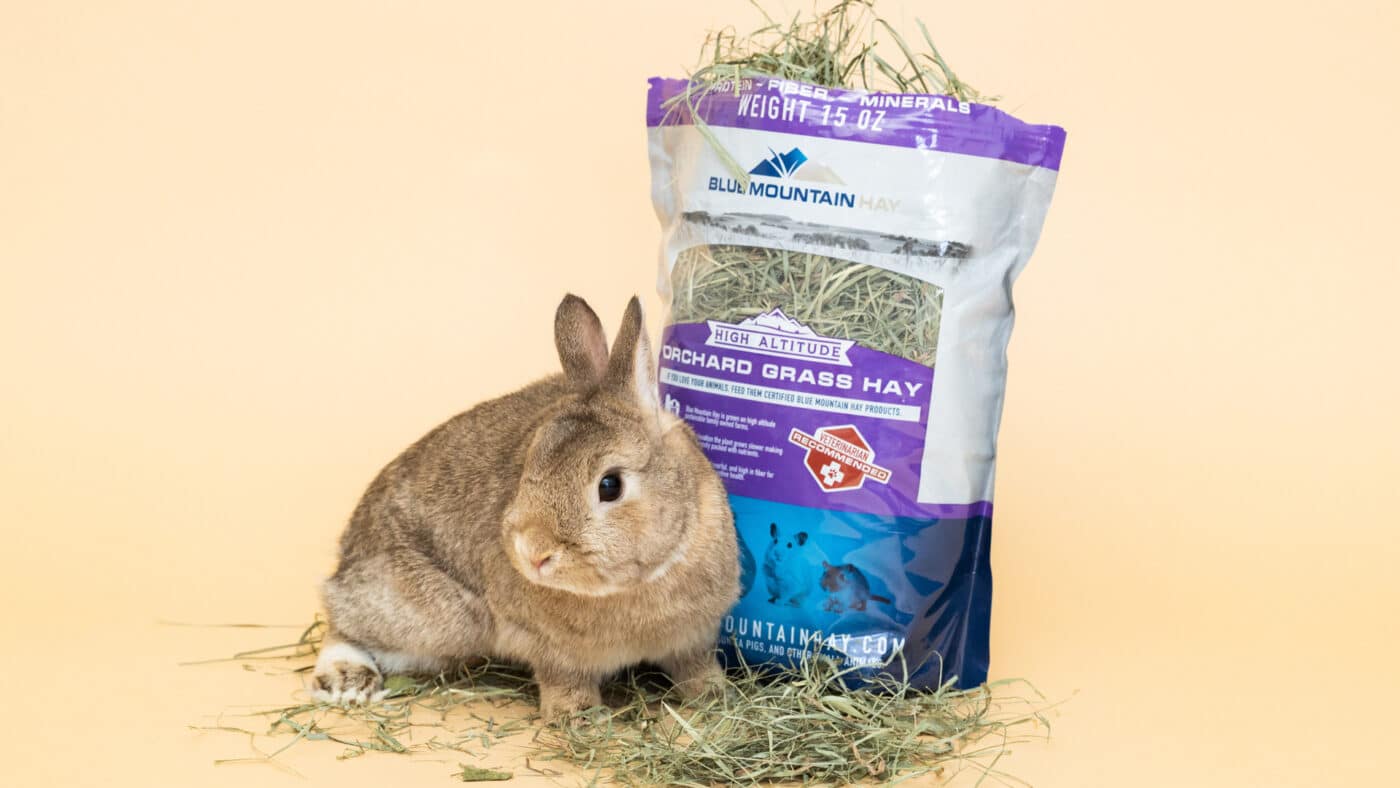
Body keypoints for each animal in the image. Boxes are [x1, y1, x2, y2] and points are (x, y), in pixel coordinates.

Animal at [311, 295, 740, 720]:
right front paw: (577, 717)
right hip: (441, 619)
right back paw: (348, 680)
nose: (533, 553)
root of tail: (346, 554)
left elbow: (695, 667)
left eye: (610, 485)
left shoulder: (694, 637)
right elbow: (562, 678)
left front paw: (714, 696)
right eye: (529, 463)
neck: (642, 580)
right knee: (342, 620)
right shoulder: (549, 648)